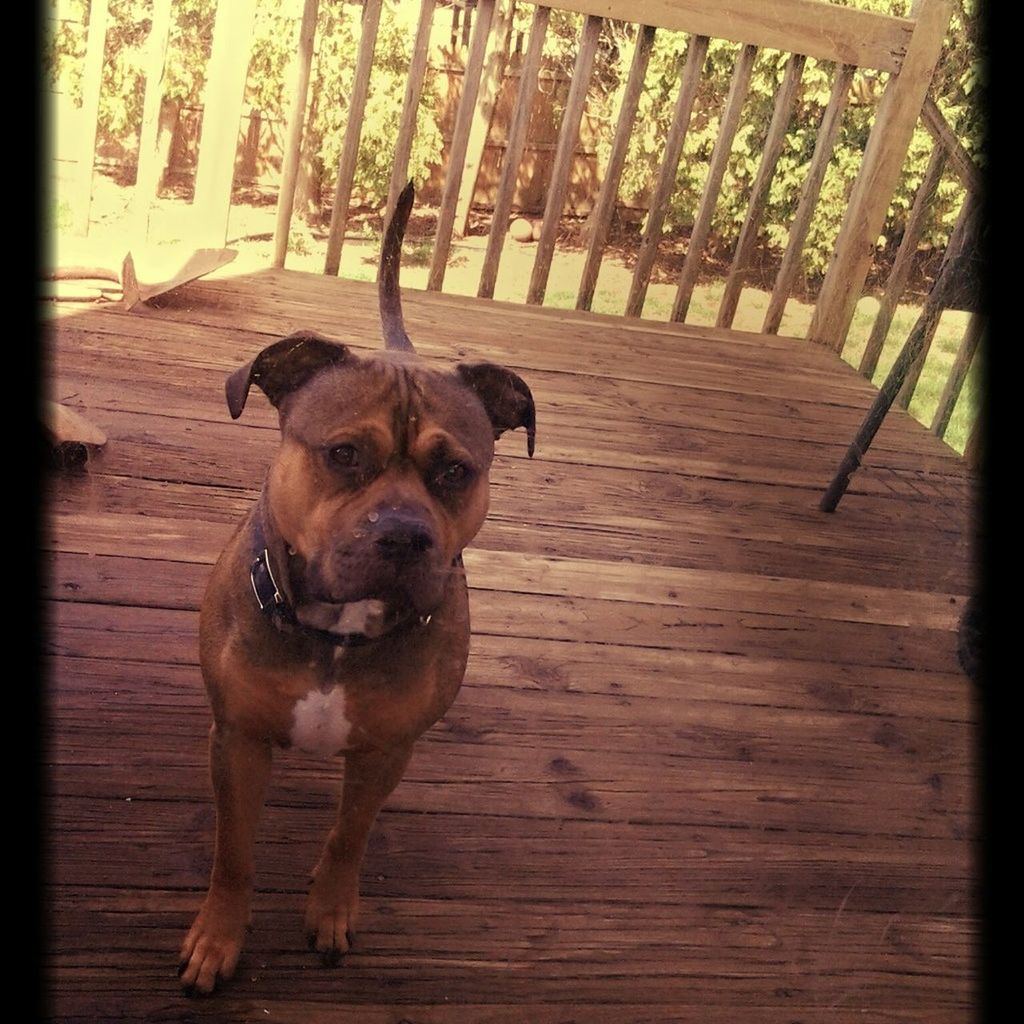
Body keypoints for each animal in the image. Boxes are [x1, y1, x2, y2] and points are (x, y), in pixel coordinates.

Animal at [178, 182, 536, 991]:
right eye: (343, 454)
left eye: (455, 471)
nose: (403, 535)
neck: (336, 634)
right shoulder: (237, 742)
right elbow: (233, 852)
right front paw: (218, 937)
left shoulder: (385, 751)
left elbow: (350, 834)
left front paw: (331, 909)